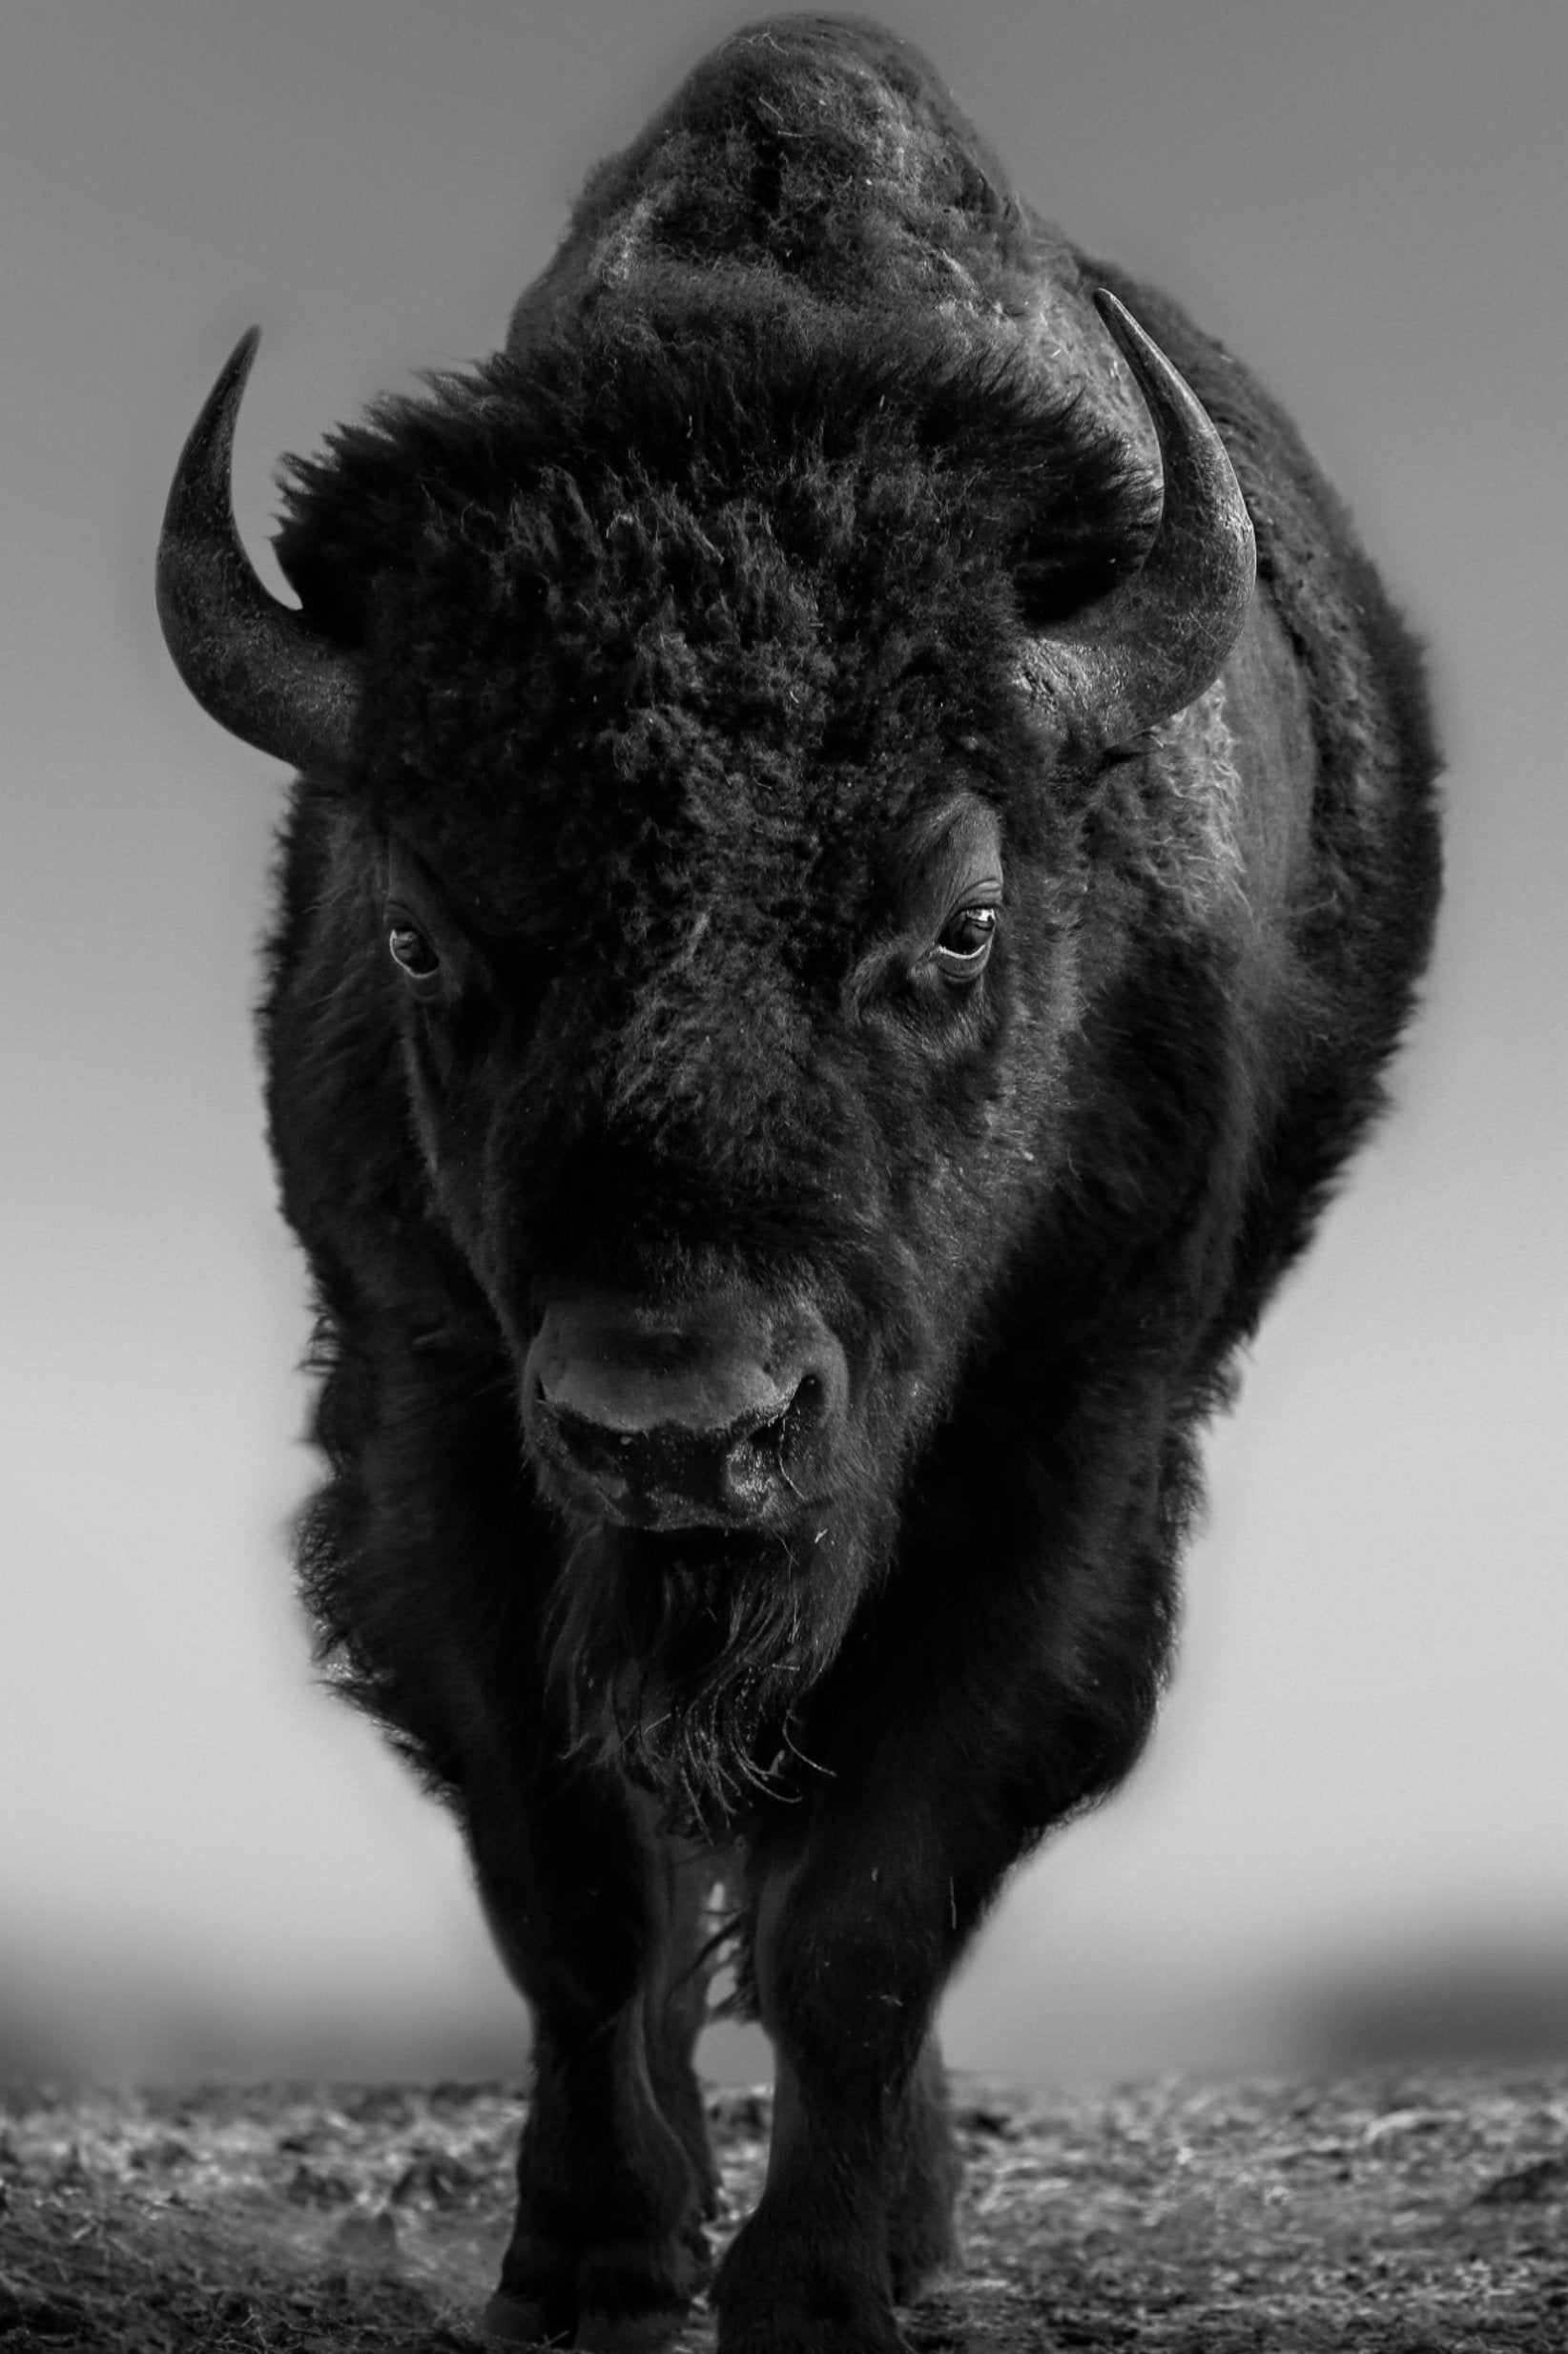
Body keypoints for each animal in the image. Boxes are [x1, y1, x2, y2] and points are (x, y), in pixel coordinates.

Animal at [156, 16, 1440, 2352]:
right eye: (414, 934)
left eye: (956, 918)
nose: (681, 1422)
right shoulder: (437, 1424)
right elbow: (577, 1884)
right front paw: (593, 2257)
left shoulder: (1062, 1450)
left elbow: (872, 1902)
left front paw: (830, 2276)